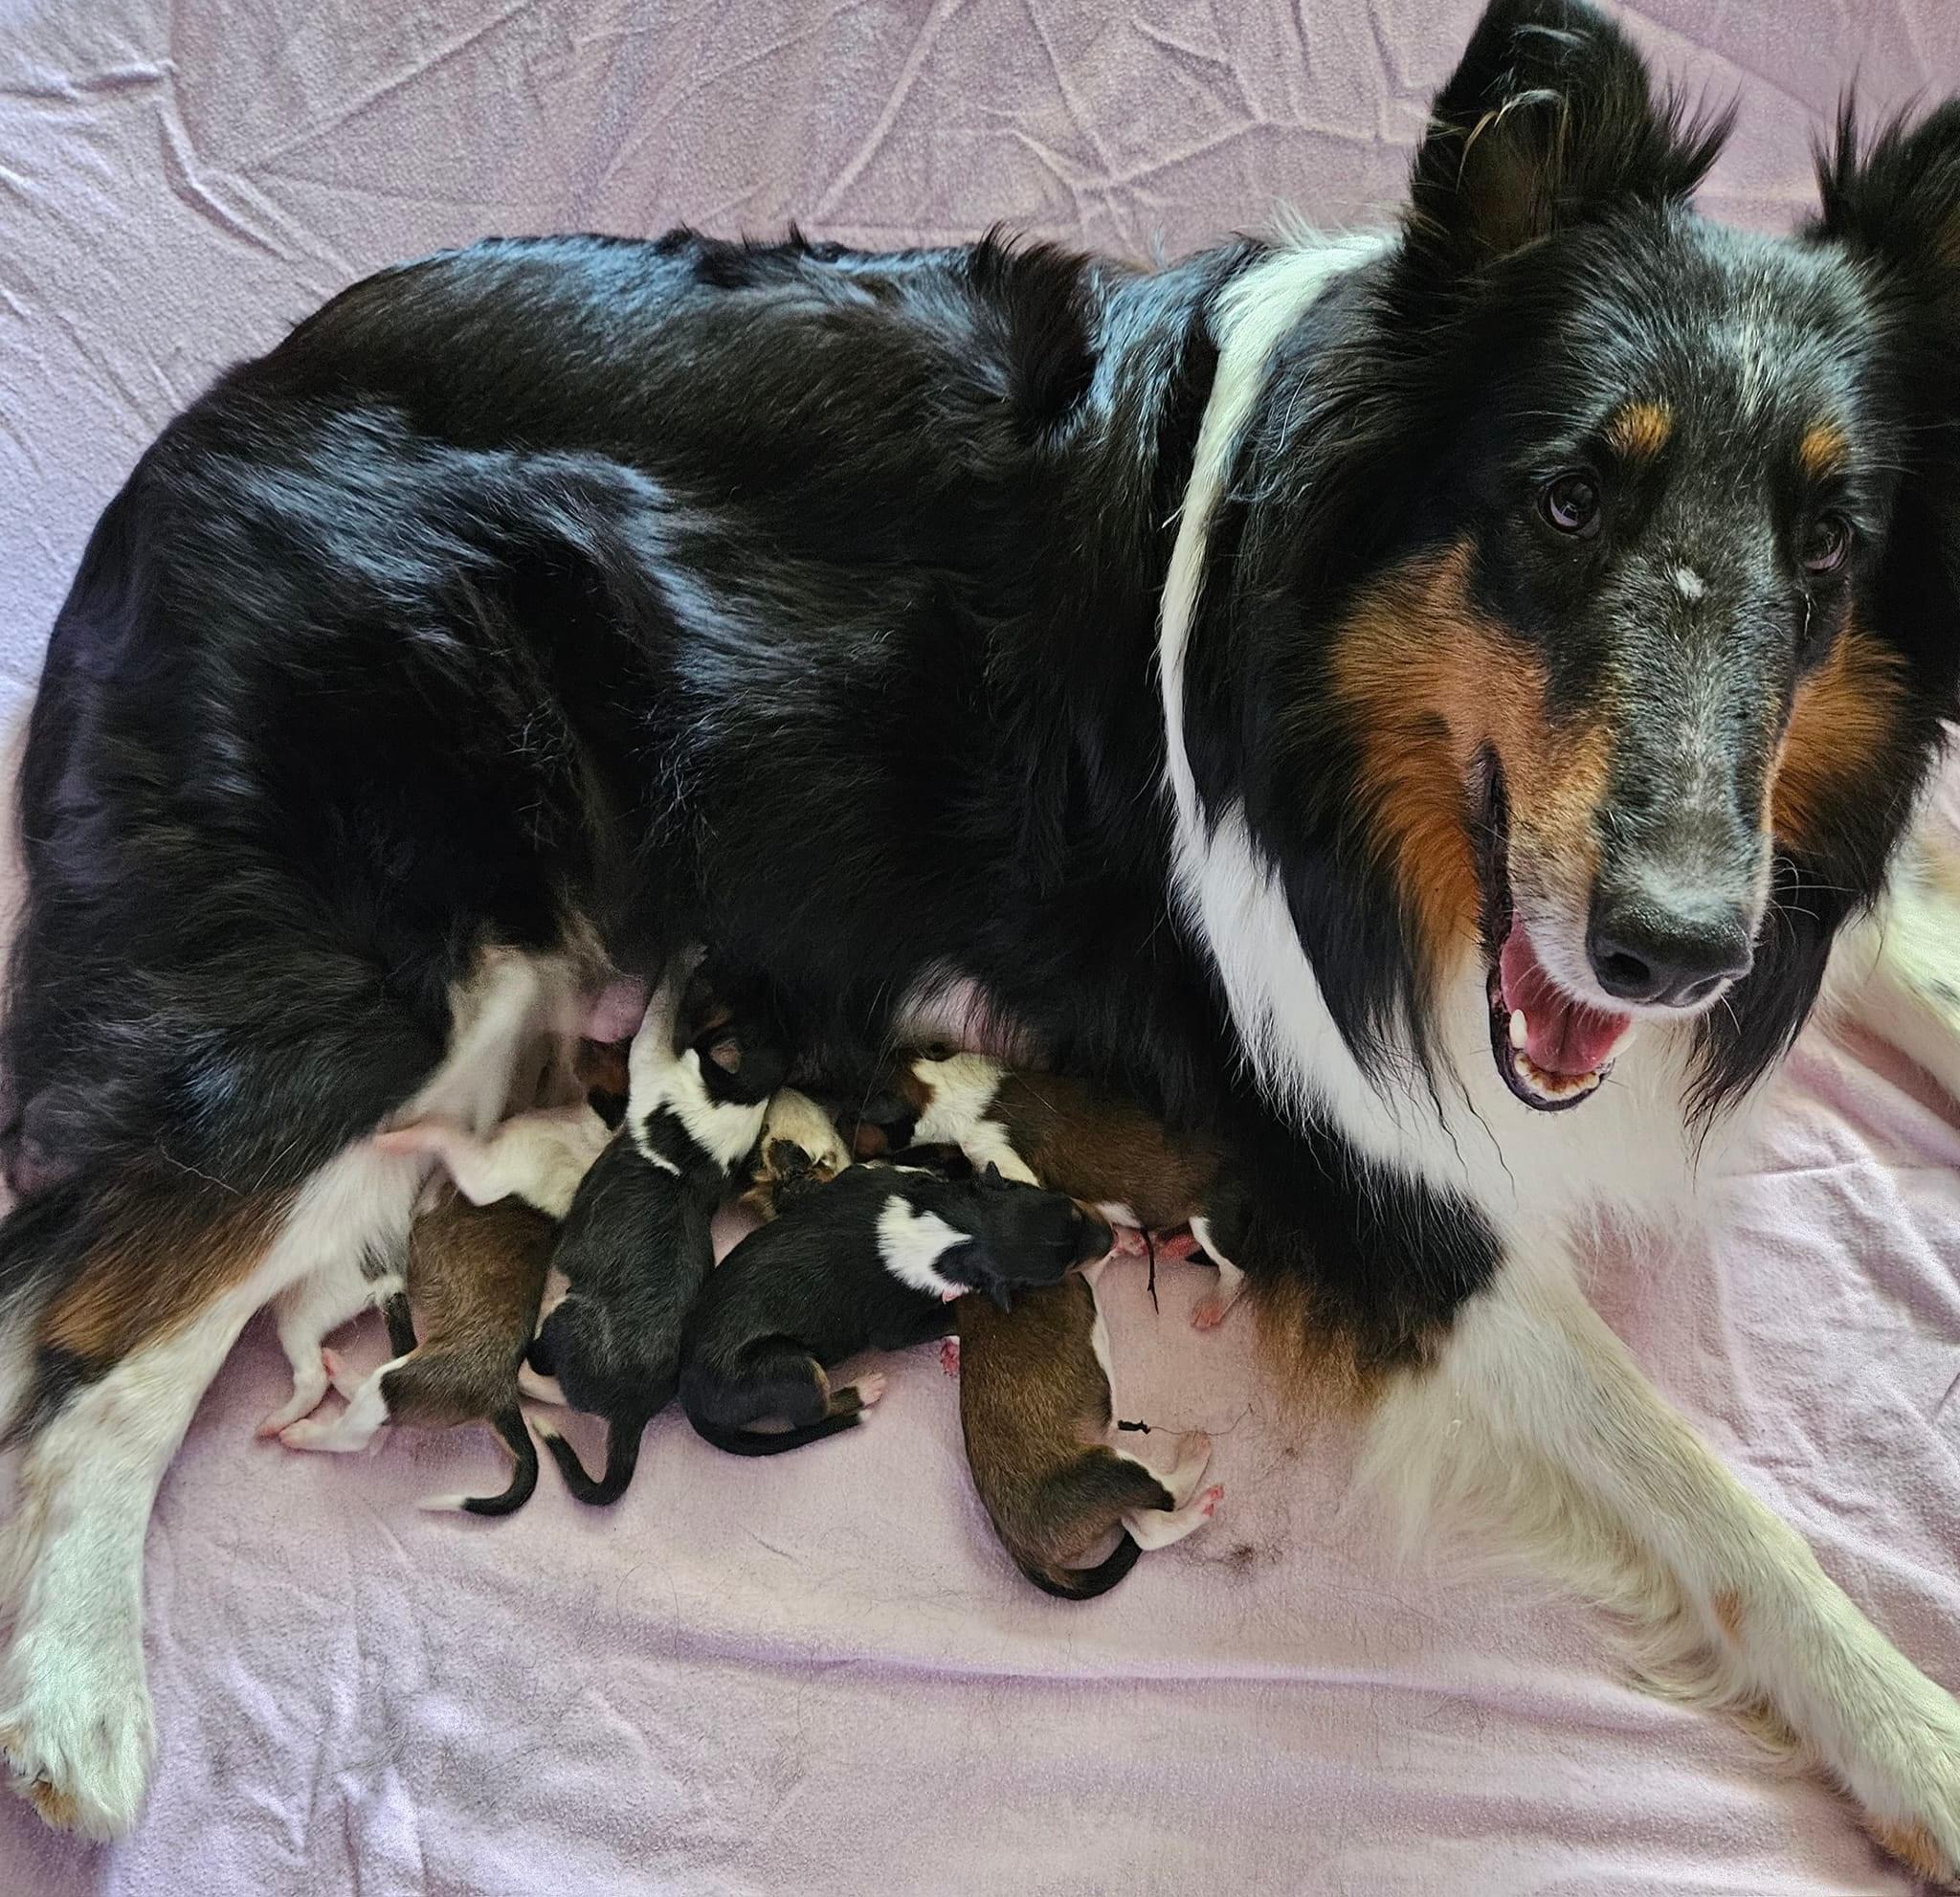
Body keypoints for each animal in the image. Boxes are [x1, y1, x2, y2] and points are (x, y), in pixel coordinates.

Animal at [533, 956, 791, 1505]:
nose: (759, 969)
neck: (745, 1094)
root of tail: (630, 1417)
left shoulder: (652, 1061)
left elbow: (658, 1011)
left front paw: (683, 957)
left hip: (569, 1319)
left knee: (547, 1370)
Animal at [685, 1151, 1121, 1450]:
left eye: (1066, 1203)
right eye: (1055, 1273)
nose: (1113, 1238)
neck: (955, 1232)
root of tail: (692, 1392)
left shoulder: (863, 1176)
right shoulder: (896, 1327)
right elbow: (953, 1314)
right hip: (790, 1369)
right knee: (810, 1415)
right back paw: (864, 1389)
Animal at [850, 1050, 1246, 1332]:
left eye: (850, 1112)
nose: (851, 1156)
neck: (944, 1084)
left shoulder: (997, 1151)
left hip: (1212, 1220)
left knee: (1235, 1270)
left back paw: (1210, 1306)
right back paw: (1167, 1245)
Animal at [956, 1261, 1214, 1598]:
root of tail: (1026, 1555)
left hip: (1111, 1496)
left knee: (1146, 1529)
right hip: (1109, 1469)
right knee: (1169, 1497)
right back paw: (1197, 1462)